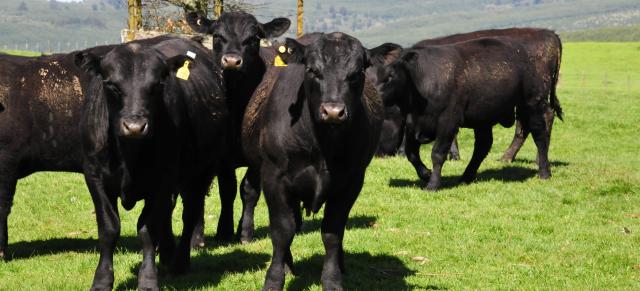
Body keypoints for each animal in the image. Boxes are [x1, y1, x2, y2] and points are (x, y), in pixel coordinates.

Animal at [74, 38, 228, 290]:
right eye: (111, 84)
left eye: (157, 85)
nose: (135, 127)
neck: (129, 155)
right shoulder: (94, 177)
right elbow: (108, 229)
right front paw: (102, 280)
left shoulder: (164, 179)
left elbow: (147, 229)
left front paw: (147, 280)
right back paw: (166, 254)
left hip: (200, 173)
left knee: (189, 215)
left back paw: (179, 262)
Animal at [186, 11, 292, 245]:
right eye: (217, 36)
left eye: (253, 39)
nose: (232, 61)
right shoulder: (222, 156)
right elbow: (228, 189)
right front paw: (224, 231)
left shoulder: (258, 155)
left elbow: (249, 190)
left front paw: (245, 231)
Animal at [242, 33, 382, 290]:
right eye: (312, 70)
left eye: (357, 73)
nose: (333, 111)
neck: (321, 144)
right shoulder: (274, 177)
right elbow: (282, 230)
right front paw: (275, 278)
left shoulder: (352, 181)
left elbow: (333, 232)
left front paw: (332, 278)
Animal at [384, 37, 556, 192]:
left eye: (391, 75)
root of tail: (524, 53)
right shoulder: (412, 125)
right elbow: (411, 153)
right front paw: (426, 174)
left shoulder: (448, 122)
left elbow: (437, 153)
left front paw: (432, 184)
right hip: (484, 119)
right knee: (483, 146)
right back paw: (466, 176)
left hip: (531, 105)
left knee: (540, 136)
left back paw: (544, 172)